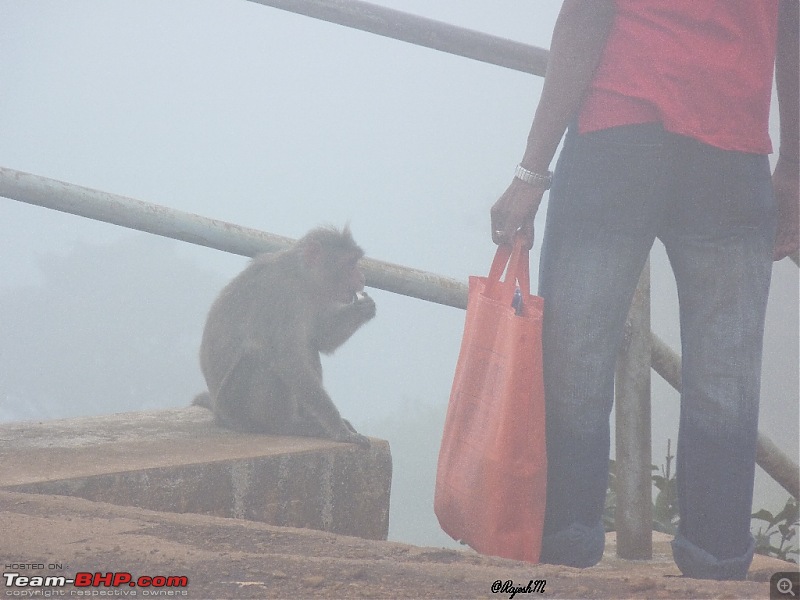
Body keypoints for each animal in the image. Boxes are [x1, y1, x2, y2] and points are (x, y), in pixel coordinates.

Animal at [196, 225, 378, 446]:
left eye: (356, 262)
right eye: (350, 264)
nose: (362, 278)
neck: (302, 277)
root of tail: (220, 415)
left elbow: (320, 339)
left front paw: (364, 308)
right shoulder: (281, 296)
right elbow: (290, 361)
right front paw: (339, 430)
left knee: (307, 346)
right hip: (235, 405)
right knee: (262, 357)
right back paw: (287, 424)